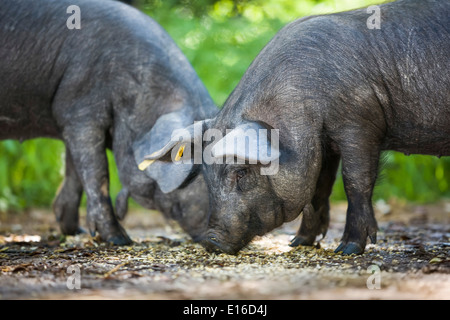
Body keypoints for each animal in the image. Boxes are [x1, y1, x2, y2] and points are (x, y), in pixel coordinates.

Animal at [0, 0, 216, 244]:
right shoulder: (79, 107)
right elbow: (97, 172)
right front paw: (119, 239)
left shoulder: (69, 121)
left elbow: (74, 174)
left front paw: (76, 231)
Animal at [143, 0, 450, 255]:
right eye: (206, 177)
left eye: (241, 172)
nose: (210, 241)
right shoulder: (323, 143)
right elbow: (319, 189)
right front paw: (299, 243)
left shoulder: (359, 124)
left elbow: (355, 182)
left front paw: (347, 249)